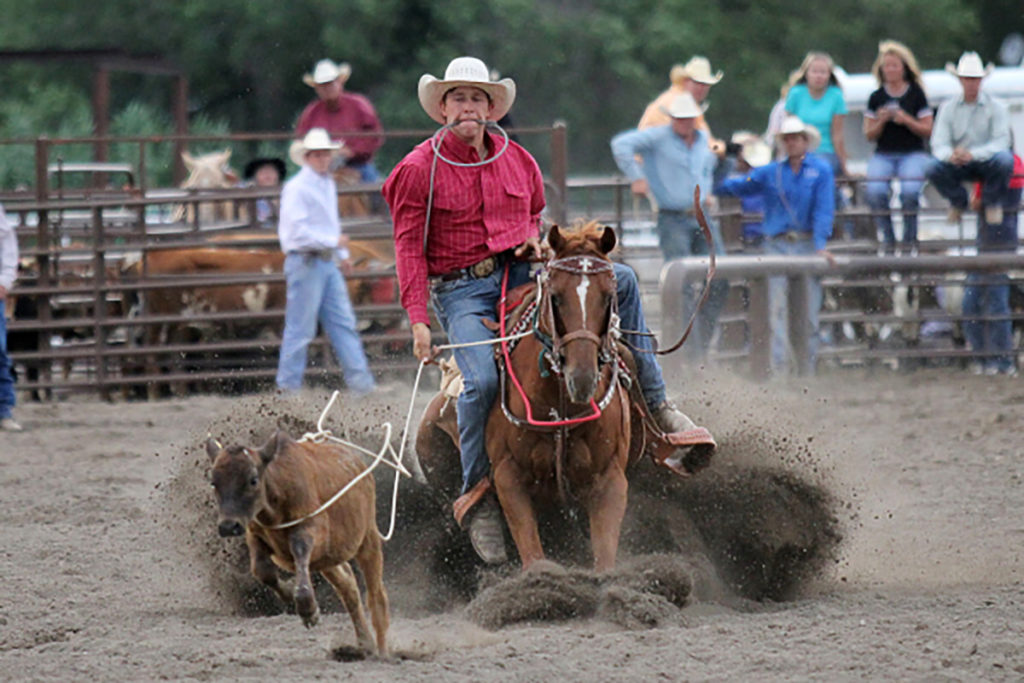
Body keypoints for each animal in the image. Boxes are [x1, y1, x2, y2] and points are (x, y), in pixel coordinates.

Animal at [205, 430, 389, 659]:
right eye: (213, 482)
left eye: (253, 480)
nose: (229, 526)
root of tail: (359, 465)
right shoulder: (254, 533)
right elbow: (262, 570)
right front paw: (289, 592)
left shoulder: (311, 532)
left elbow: (299, 552)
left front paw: (309, 612)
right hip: (329, 560)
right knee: (348, 587)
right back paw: (365, 645)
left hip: (368, 540)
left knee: (376, 595)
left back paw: (382, 651)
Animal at [483, 223, 626, 573]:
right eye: (556, 297)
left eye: (608, 296)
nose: (582, 377)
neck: (559, 409)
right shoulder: (507, 477)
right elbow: (534, 557)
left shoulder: (610, 480)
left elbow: (605, 561)